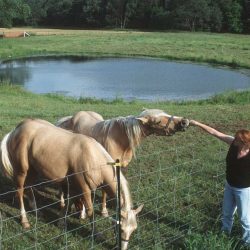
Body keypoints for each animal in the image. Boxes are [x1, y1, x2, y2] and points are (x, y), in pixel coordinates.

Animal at [0, 119, 144, 250]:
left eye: (134, 229)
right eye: (121, 228)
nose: (123, 248)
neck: (93, 158)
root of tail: (15, 130)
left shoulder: (74, 186)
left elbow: (69, 202)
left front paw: (61, 222)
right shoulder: (84, 188)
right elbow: (90, 211)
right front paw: (95, 234)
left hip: (33, 169)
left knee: (29, 187)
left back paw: (36, 211)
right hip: (22, 171)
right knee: (19, 191)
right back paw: (24, 221)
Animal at [56, 108, 189, 216]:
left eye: (165, 112)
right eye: (157, 121)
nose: (184, 121)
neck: (120, 140)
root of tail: (67, 120)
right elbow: (104, 191)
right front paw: (104, 211)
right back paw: (62, 202)